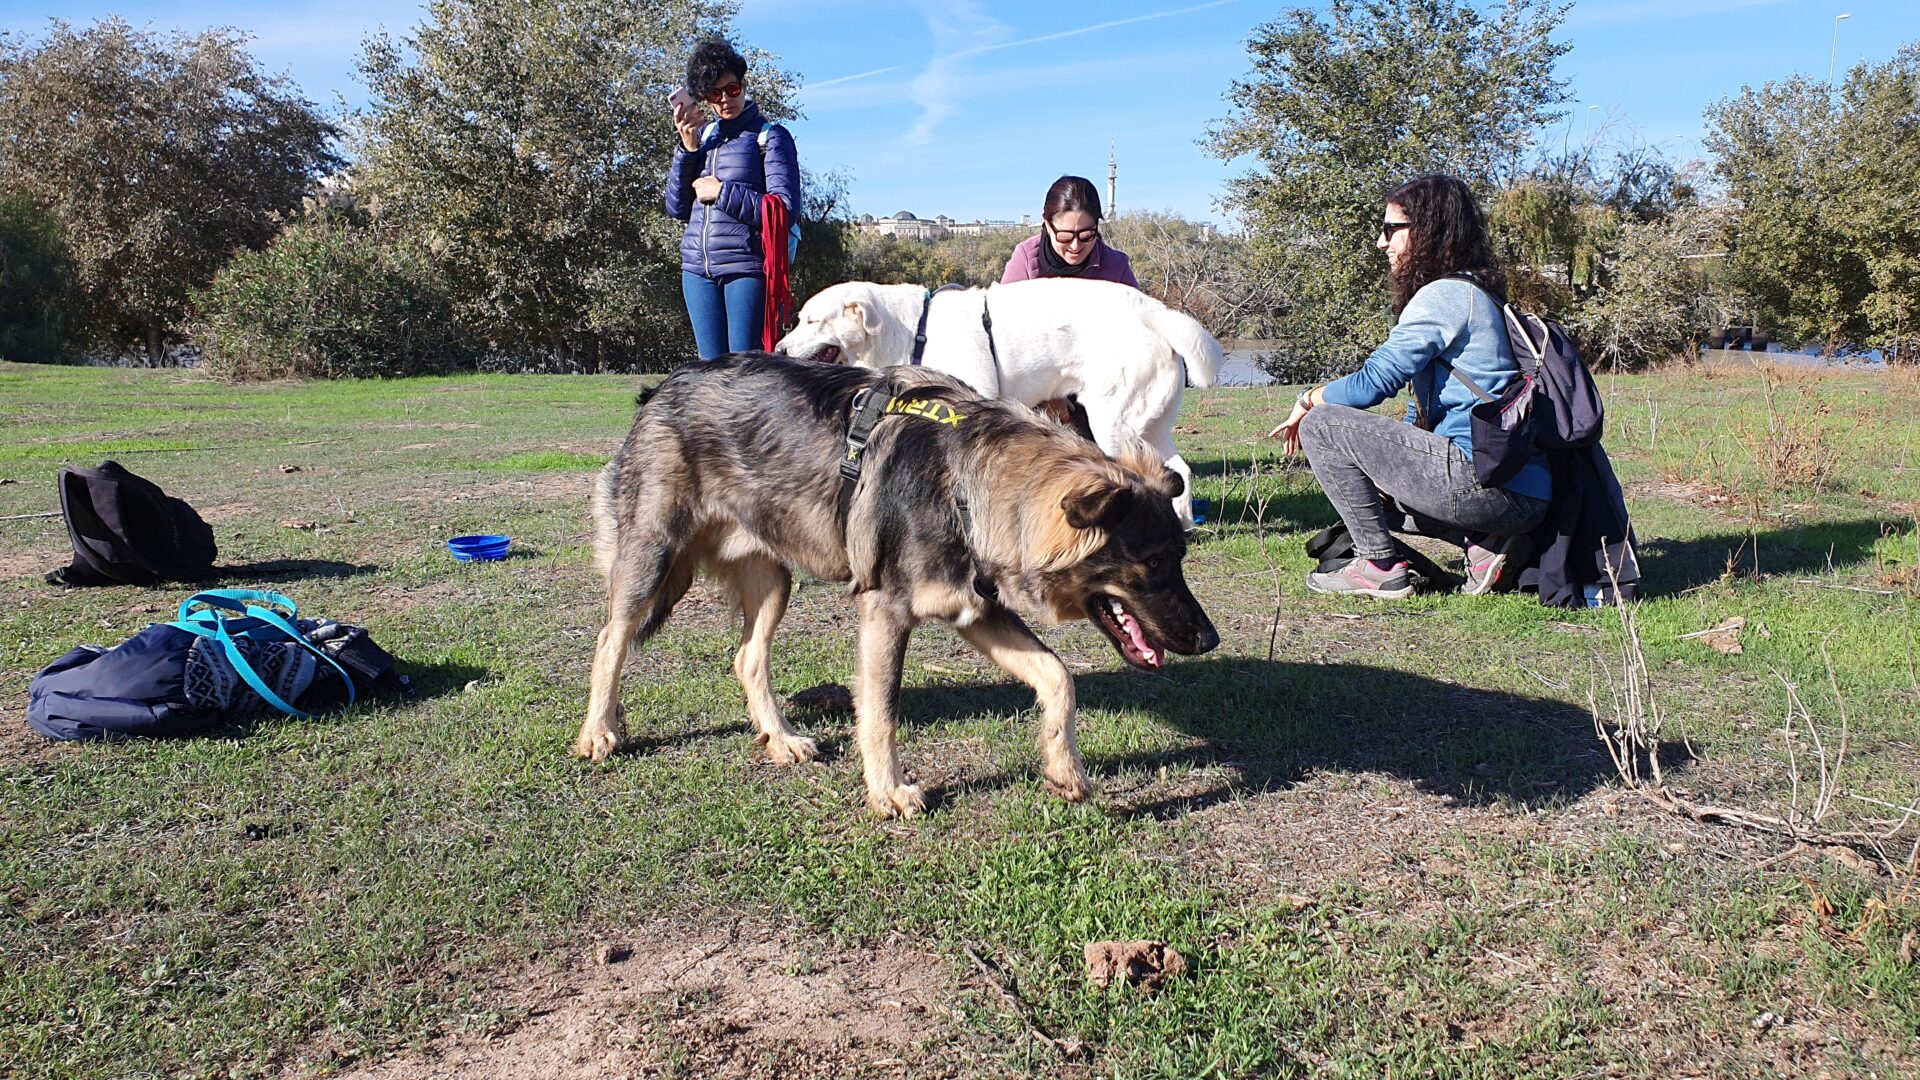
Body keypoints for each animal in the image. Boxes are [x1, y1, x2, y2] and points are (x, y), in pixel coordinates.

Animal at [576, 353, 1221, 814]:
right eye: (1154, 563)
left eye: (1180, 556)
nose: (1209, 640)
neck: (967, 485)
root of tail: (660, 389)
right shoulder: (885, 613)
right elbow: (881, 709)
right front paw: (888, 791)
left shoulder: (976, 611)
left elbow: (1058, 675)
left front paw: (1066, 771)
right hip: (651, 556)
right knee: (611, 639)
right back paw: (599, 731)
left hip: (774, 579)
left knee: (746, 657)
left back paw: (780, 738)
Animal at [771, 276, 1221, 526]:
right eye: (799, 320)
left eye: (811, 321)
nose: (778, 348)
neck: (913, 330)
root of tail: (1155, 311)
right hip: (1148, 425)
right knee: (1178, 470)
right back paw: (1183, 524)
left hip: (1114, 424)